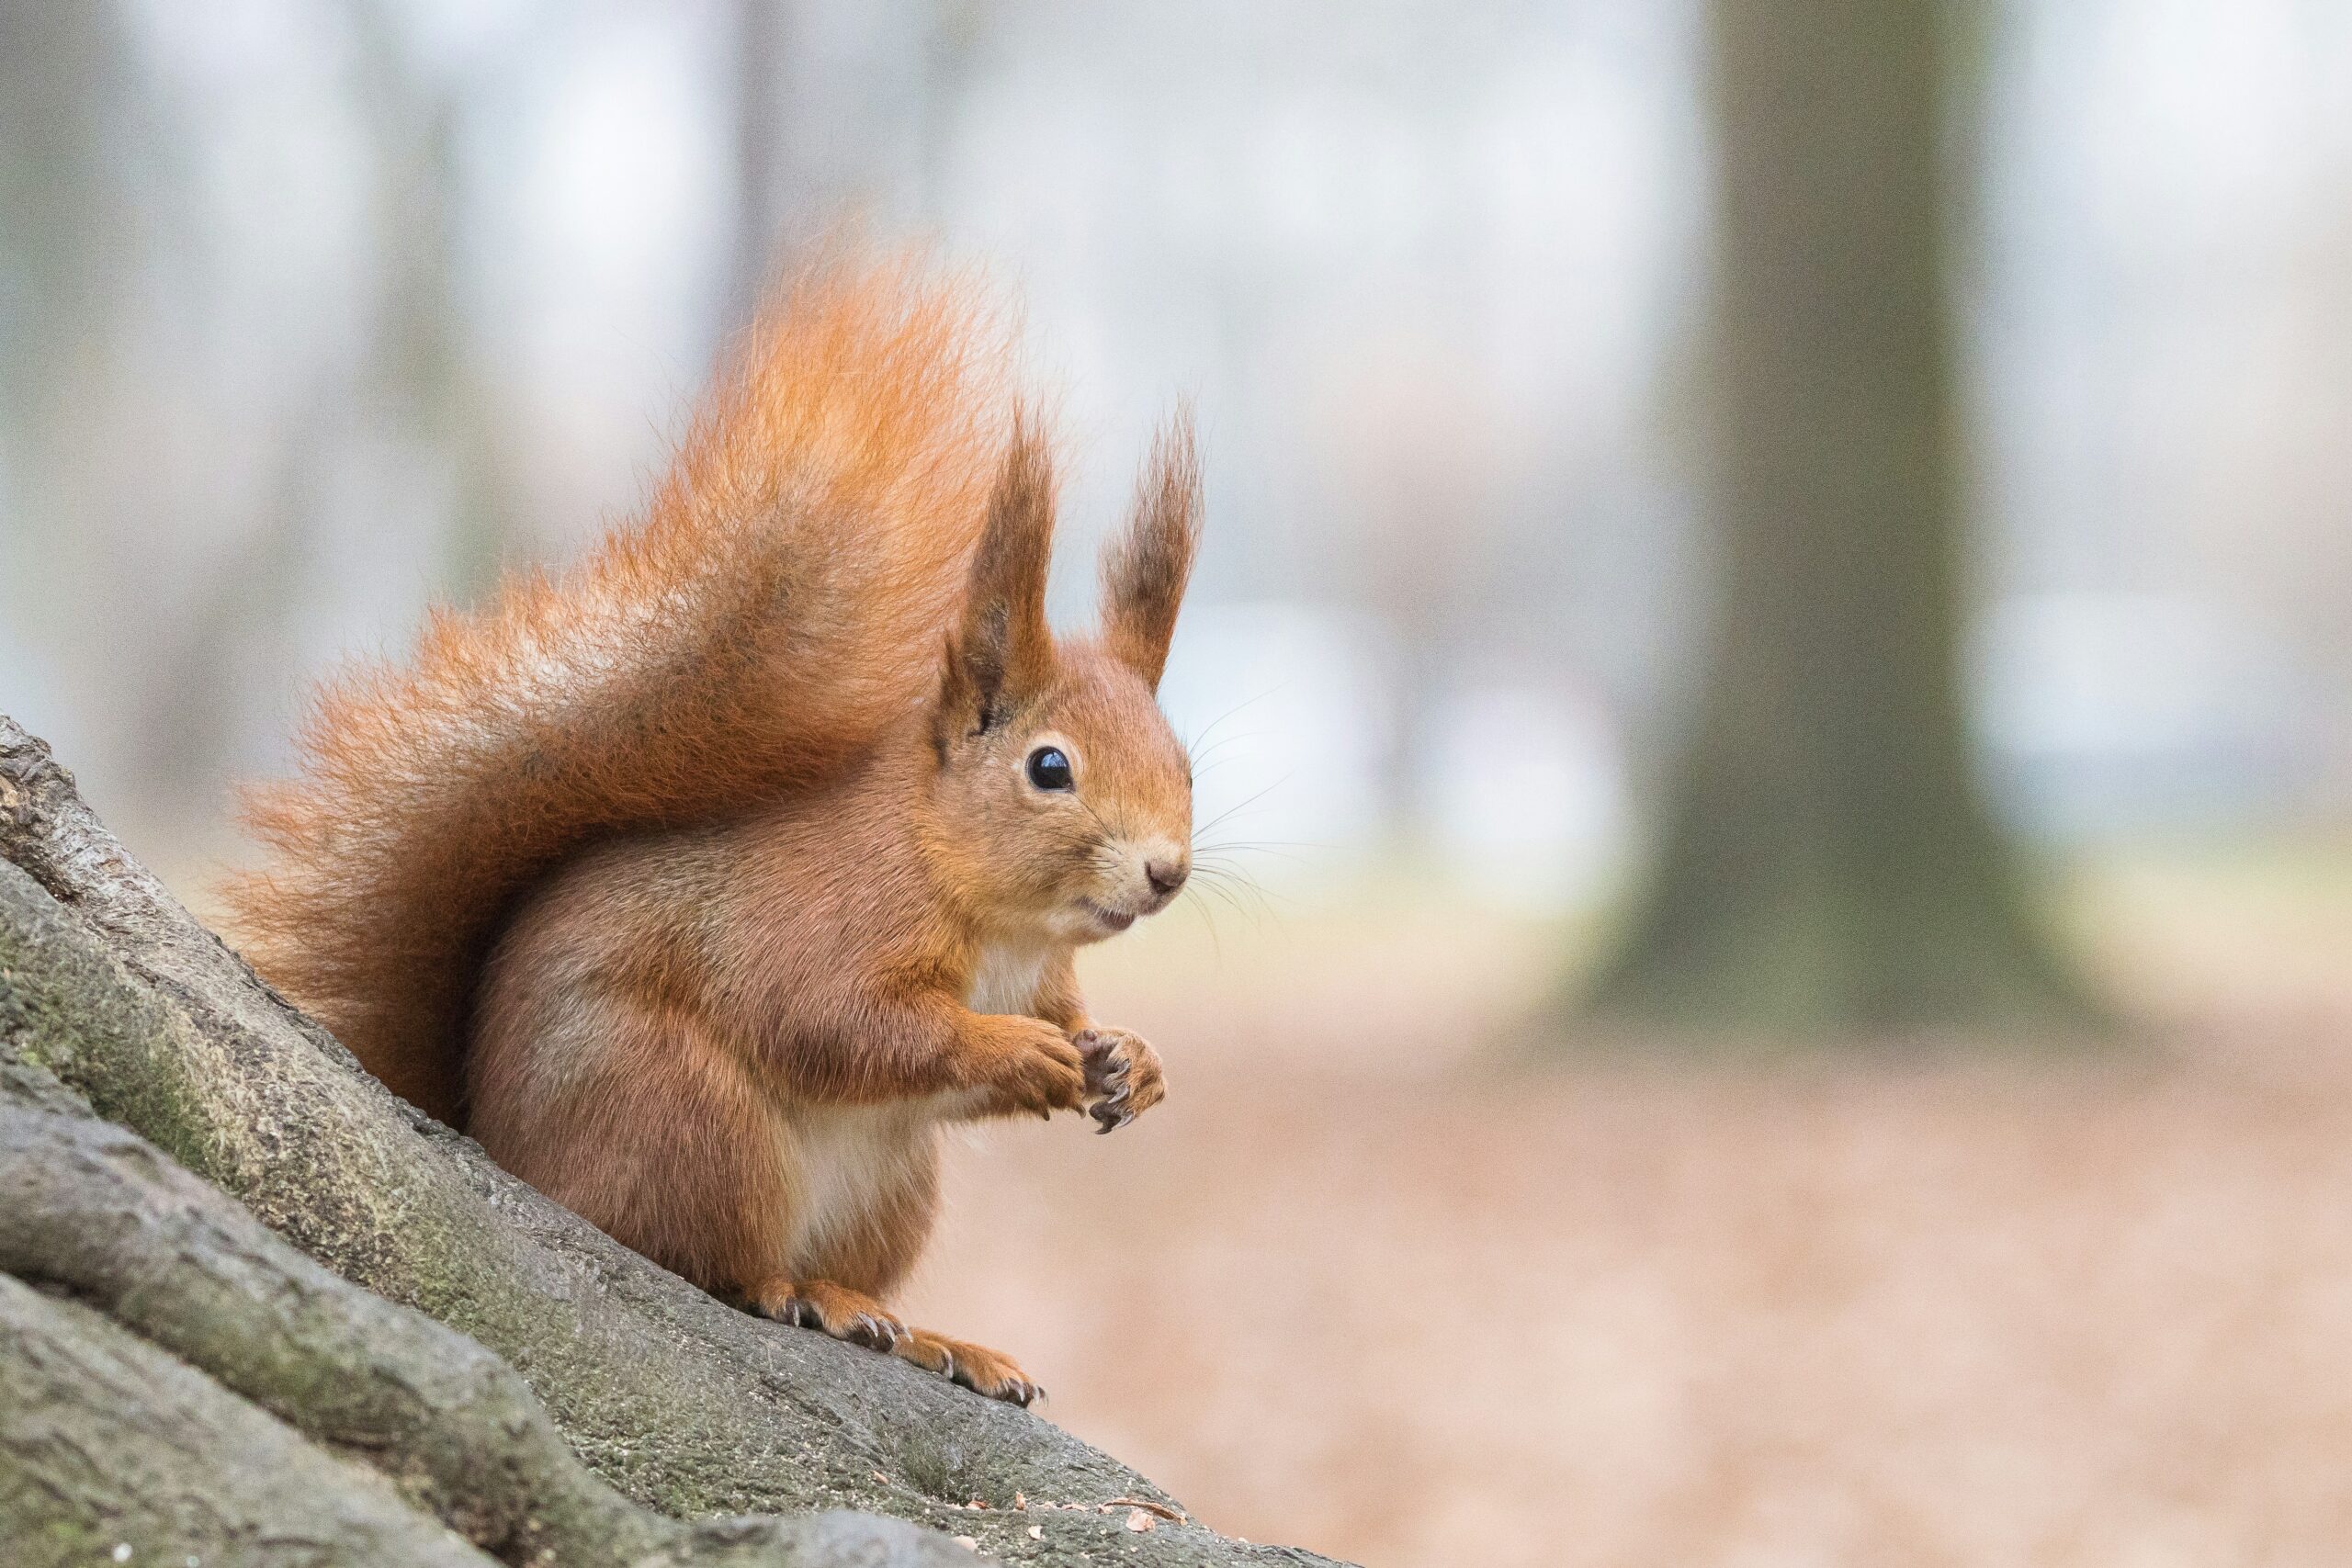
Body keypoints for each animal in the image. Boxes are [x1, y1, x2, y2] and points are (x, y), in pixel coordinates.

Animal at [222, 254, 1201, 1405]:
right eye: (1050, 768)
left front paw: (1129, 1059)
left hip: (890, 1186)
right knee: (700, 1259)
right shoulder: (822, 923)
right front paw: (1008, 1048)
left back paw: (926, 1334)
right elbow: (836, 1023)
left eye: (1185, 762)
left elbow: (1045, 1031)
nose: (1166, 872)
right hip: (685, 1117)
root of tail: (507, 1152)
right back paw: (798, 1294)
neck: (992, 912)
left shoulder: (1040, 975)